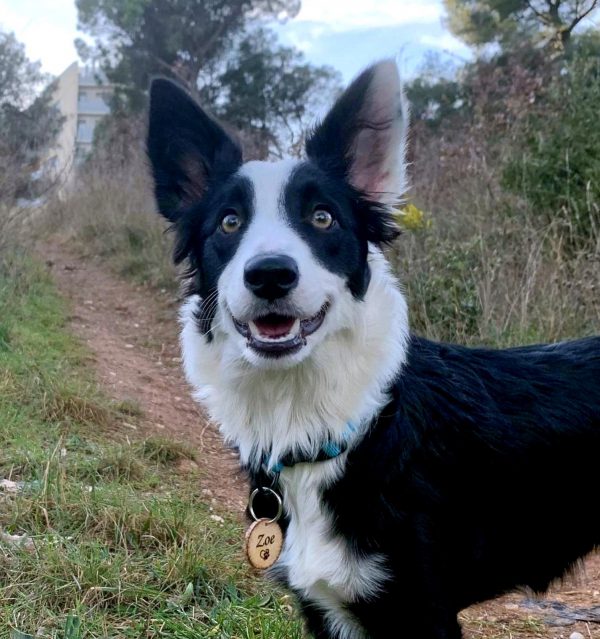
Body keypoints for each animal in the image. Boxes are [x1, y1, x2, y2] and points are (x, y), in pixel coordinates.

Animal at [146, 61, 600, 639]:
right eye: (229, 222)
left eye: (323, 218)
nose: (270, 274)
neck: (337, 424)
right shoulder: (327, 611)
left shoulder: (422, 611)